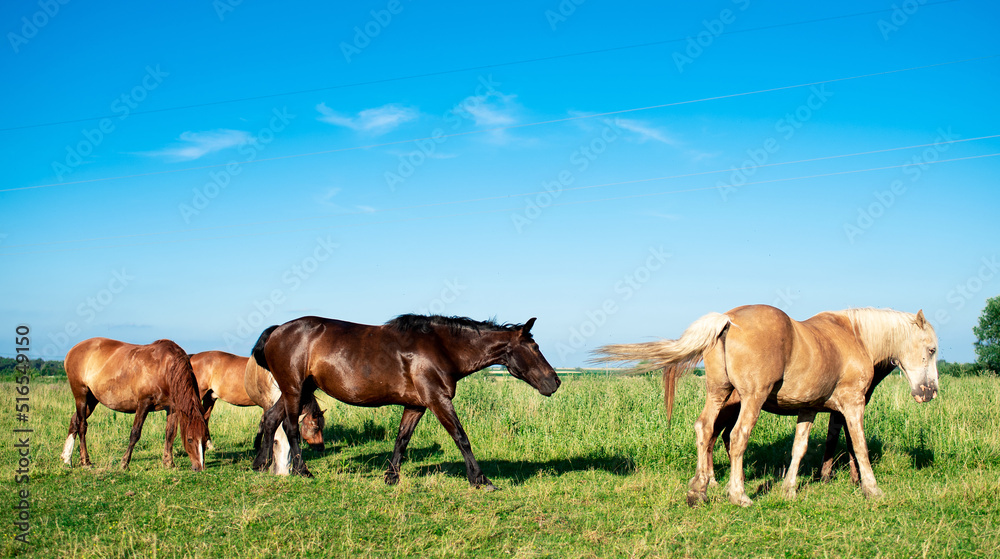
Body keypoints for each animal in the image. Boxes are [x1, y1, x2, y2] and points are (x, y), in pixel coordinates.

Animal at [61, 340, 209, 470]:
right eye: (189, 440)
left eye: (205, 439)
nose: (199, 468)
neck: (166, 368)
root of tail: (72, 350)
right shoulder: (144, 403)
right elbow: (135, 433)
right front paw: (124, 463)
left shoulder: (172, 408)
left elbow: (170, 433)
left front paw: (168, 463)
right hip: (81, 396)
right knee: (82, 426)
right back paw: (85, 461)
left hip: (92, 400)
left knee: (74, 421)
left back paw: (67, 459)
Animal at [189, 354, 326, 460]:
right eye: (316, 427)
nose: (321, 448)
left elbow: (263, 422)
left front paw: (257, 444)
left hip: (210, 398)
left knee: (204, 418)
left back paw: (208, 444)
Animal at [252, 312, 564, 488]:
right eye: (535, 347)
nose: (555, 381)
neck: (442, 348)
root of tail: (278, 330)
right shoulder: (438, 400)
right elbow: (461, 437)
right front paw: (480, 479)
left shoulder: (416, 405)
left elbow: (402, 439)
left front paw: (391, 477)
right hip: (294, 389)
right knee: (291, 428)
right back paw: (302, 471)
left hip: (298, 390)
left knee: (270, 419)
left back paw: (260, 464)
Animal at [596, 306, 940, 508]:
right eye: (932, 349)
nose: (930, 392)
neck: (852, 336)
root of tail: (728, 319)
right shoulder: (852, 405)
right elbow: (859, 446)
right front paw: (871, 488)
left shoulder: (809, 408)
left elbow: (799, 448)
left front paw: (789, 489)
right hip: (752, 398)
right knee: (736, 438)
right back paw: (738, 494)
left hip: (718, 394)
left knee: (704, 430)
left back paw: (699, 490)